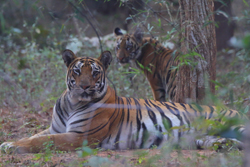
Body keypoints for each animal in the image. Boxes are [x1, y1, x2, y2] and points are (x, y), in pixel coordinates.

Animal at [0, 49, 245, 153]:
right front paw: (8, 142)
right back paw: (226, 146)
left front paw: (12, 146)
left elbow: (41, 141)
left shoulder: (80, 136)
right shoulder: (55, 128)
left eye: (95, 73)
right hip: (206, 138)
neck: (72, 102)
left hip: (234, 124)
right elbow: (33, 136)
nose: (85, 86)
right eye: (77, 71)